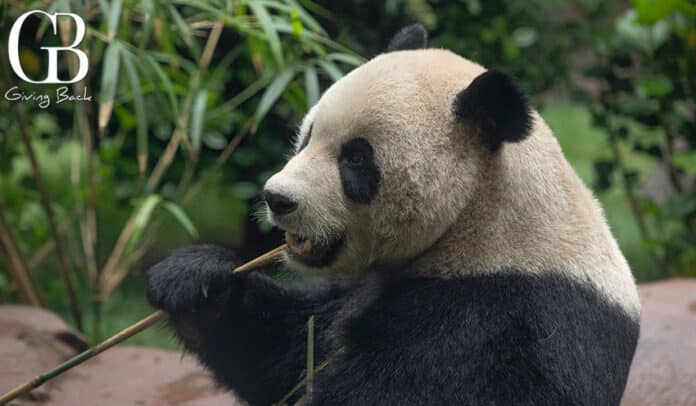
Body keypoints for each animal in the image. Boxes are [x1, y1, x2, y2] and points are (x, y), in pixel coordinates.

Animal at [146, 24, 640, 405]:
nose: (277, 198)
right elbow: (287, 351)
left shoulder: (498, 320)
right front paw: (196, 280)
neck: (479, 220)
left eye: (356, 159)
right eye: (307, 136)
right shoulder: (359, 288)